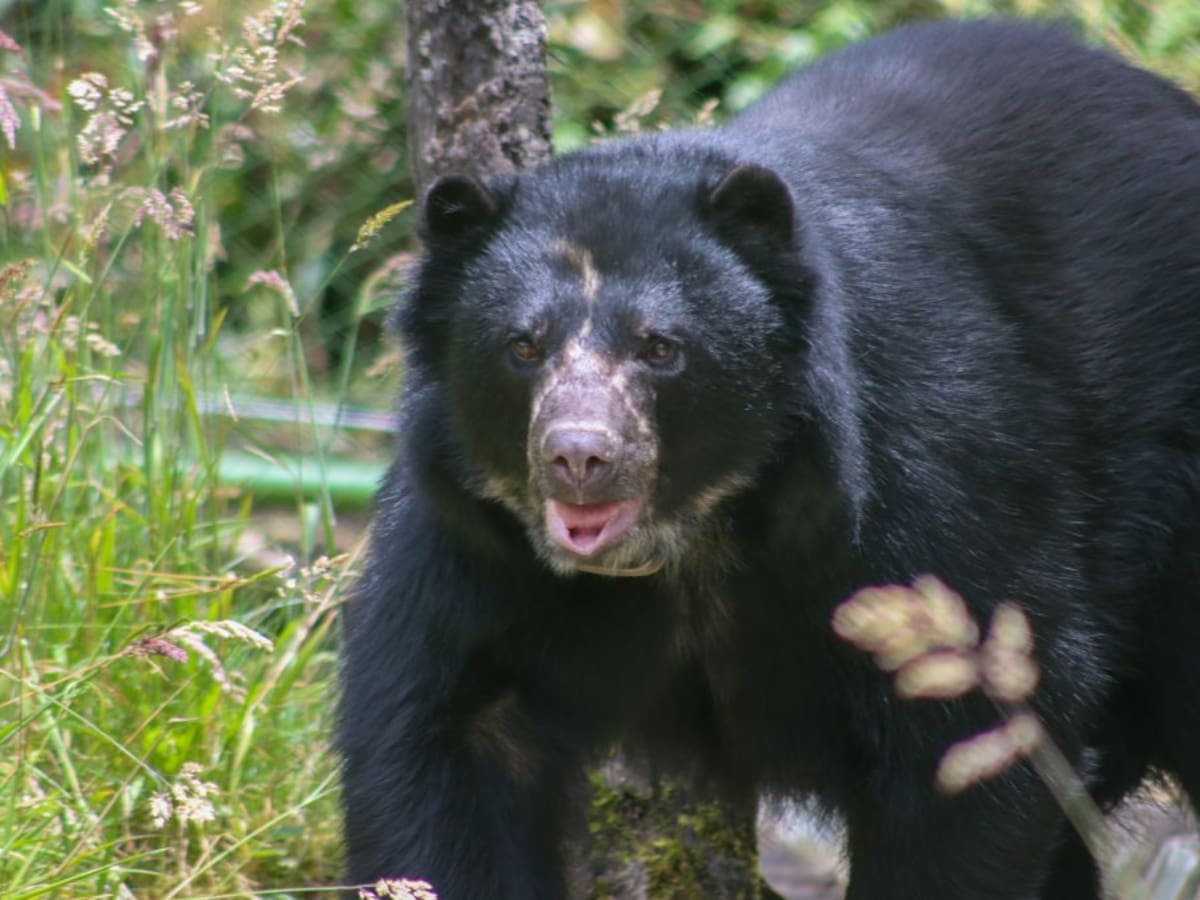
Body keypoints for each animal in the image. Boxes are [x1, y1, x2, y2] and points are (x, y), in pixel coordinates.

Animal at [337, 18, 1200, 900]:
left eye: (660, 348)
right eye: (522, 346)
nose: (579, 455)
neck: (692, 533)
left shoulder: (931, 479)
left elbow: (964, 742)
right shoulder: (474, 541)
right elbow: (442, 741)